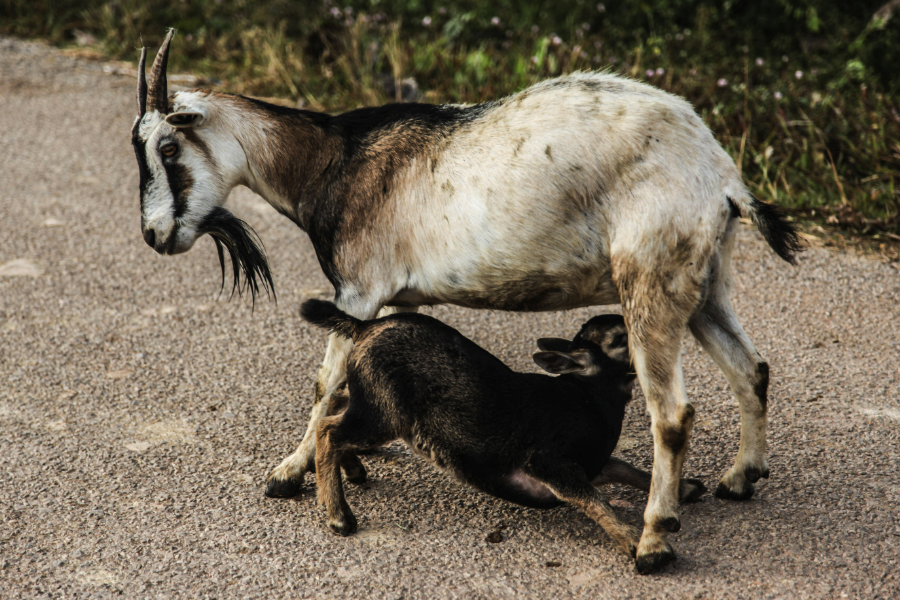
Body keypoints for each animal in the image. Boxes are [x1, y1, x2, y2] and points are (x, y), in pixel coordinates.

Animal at [130, 30, 800, 576]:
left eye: (168, 148)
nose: (155, 235)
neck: (335, 161)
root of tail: (721, 176)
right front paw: (343, 469)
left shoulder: (359, 292)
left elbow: (325, 383)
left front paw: (288, 476)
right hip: (706, 286)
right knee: (752, 368)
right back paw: (740, 479)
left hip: (649, 283)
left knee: (672, 413)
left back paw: (656, 538)